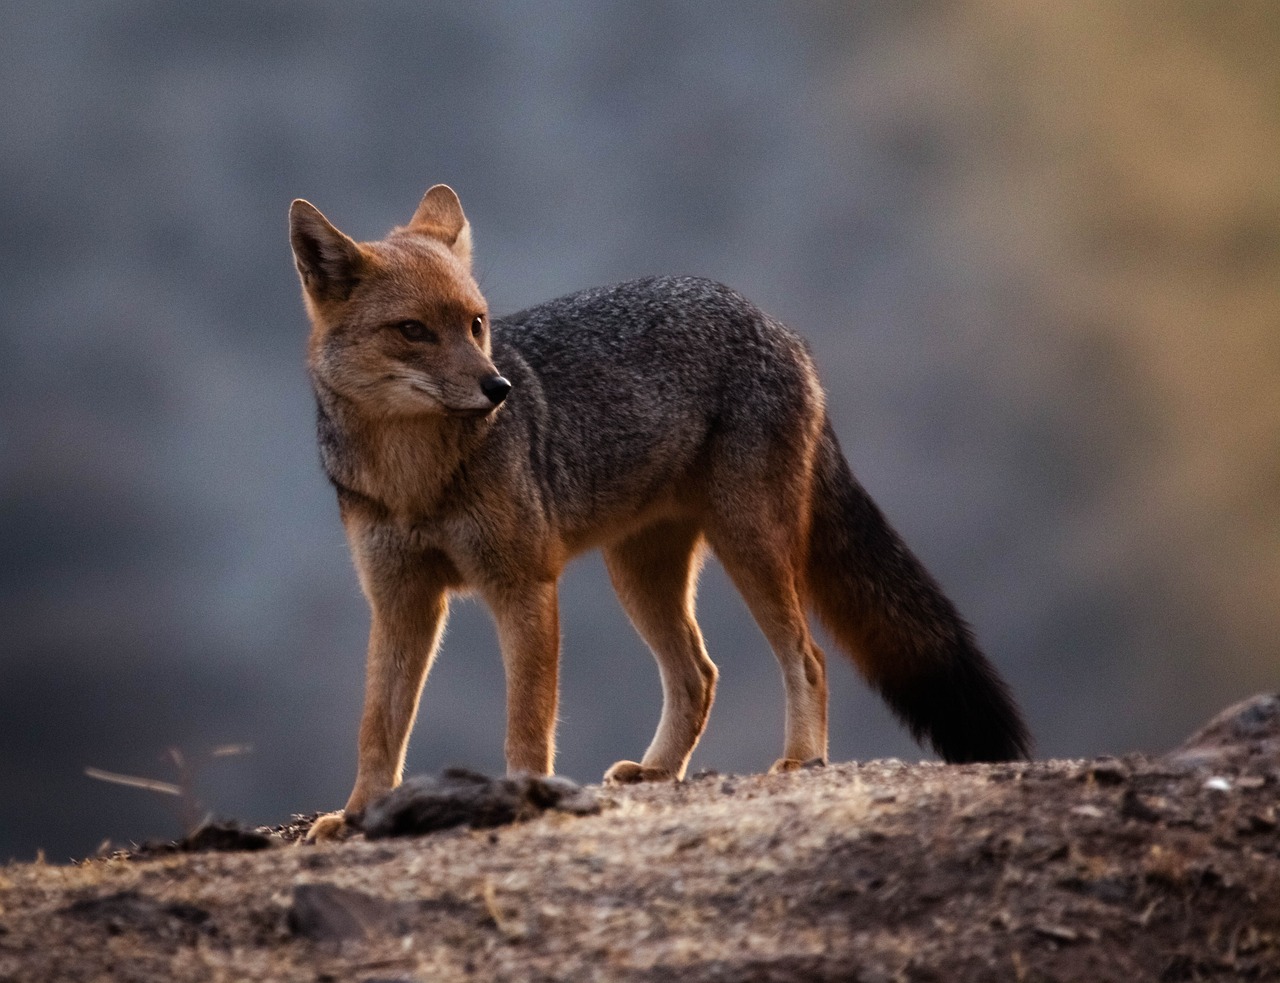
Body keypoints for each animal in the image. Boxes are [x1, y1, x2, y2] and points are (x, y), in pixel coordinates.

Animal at [290, 181, 1029, 839]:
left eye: (476, 324)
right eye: (414, 331)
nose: (497, 388)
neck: (415, 480)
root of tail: (776, 324)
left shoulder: (523, 586)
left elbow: (527, 720)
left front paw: (523, 793)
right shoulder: (401, 600)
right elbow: (379, 726)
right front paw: (357, 815)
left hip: (749, 549)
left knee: (808, 656)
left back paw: (799, 759)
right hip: (640, 576)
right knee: (699, 674)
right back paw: (658, 770)